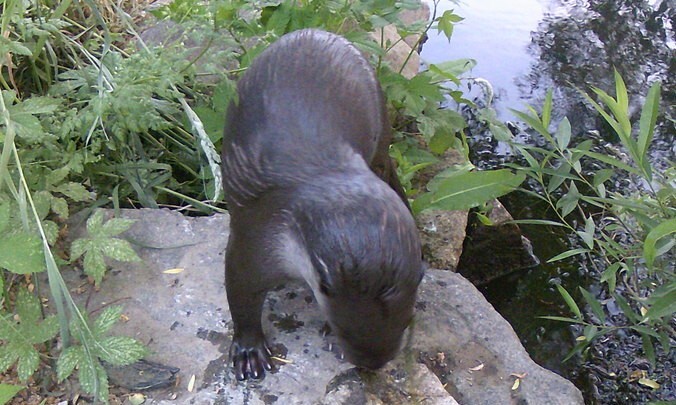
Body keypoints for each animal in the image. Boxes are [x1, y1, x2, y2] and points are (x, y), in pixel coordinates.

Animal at [222, 30, 422, 380]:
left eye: (405, 325)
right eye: (346, 330)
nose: (373, 363)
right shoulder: (256, 236)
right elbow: (240, 293)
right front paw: (249, 351)